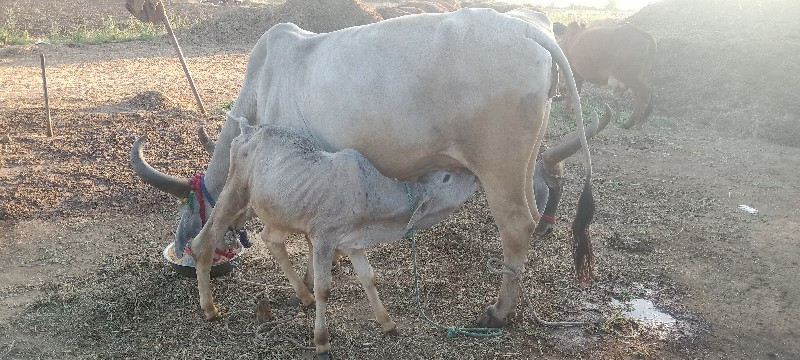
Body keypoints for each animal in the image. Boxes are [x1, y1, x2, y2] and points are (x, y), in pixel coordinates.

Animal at [133, 7, 592, 358]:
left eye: (188, 206)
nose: (181, 249)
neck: (263, 85)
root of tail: (525, 27)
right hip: (523, 161)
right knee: (536, 204)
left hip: (498, 167)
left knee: (516, 226)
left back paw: (498, 312)